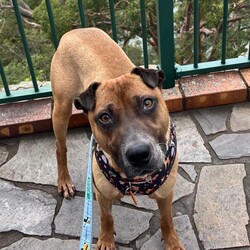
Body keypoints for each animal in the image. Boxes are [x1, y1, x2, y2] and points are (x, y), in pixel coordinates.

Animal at [50, 27, 184, 250]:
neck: (136, 182)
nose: (139, 154)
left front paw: (172, 241)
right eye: (105, 117)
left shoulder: (166, 194)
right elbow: (106, 218)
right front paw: (106, 240)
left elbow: (167, 219)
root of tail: (74, 31)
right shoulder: (102, 194)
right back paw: (64, 181)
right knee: (61, 148)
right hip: (61, 109)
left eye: (148, 103)